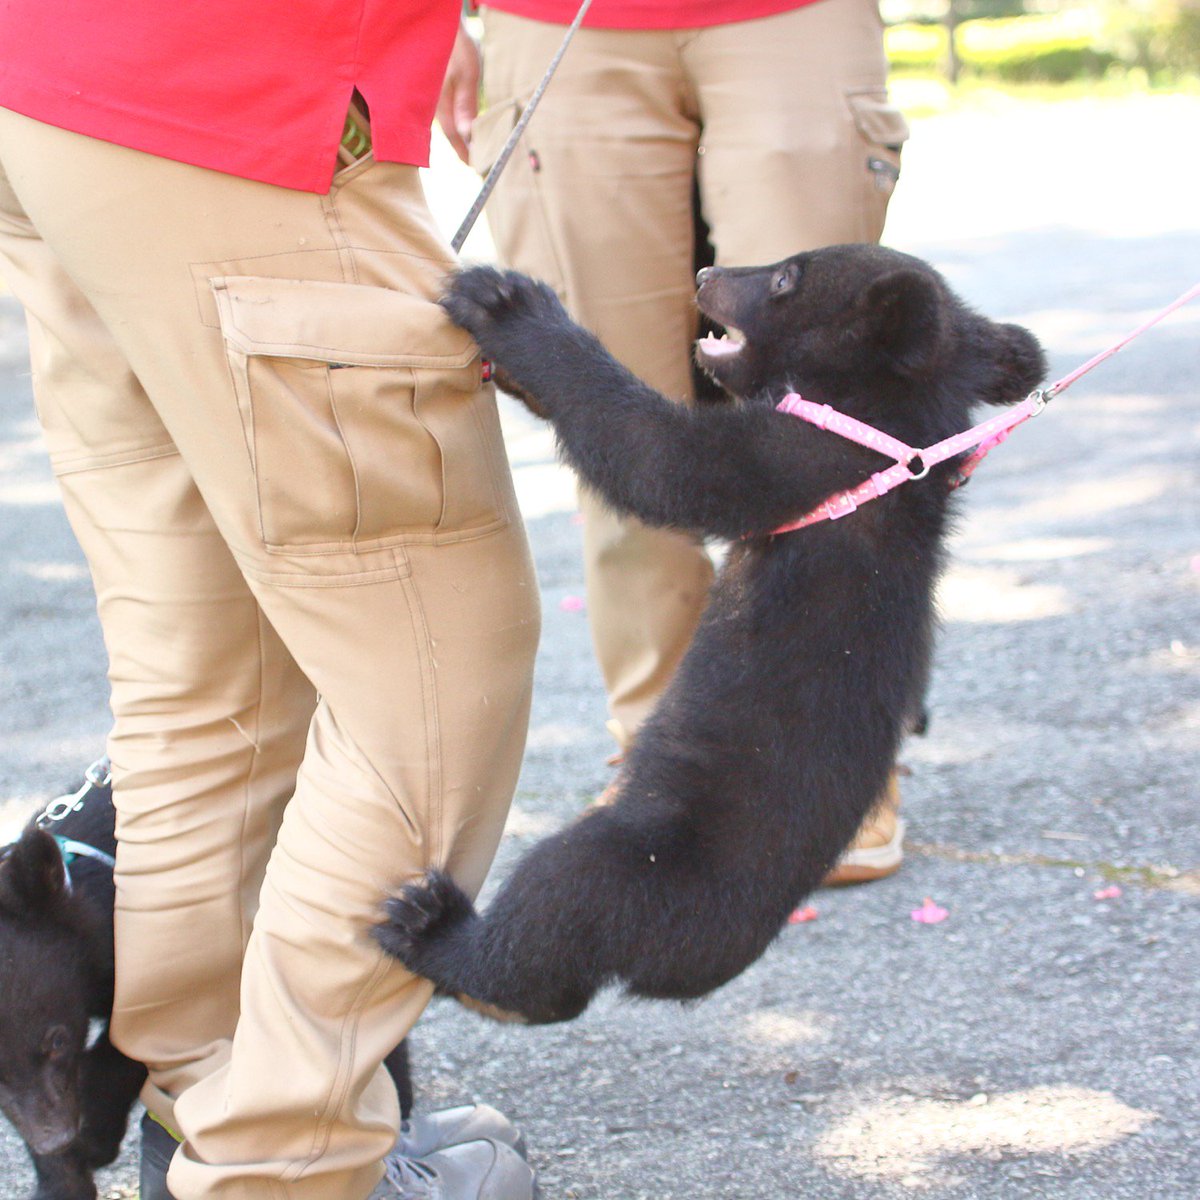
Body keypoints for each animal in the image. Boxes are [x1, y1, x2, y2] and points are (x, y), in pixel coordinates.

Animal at [373, 244, 1046, 1026]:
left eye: (786, 277)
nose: (705, 273)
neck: (893, 429)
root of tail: (680, 974)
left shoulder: (801, 454)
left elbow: (663, 458)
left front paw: (507, 304)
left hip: (632, 862)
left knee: (552, 911)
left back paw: (435, 931)